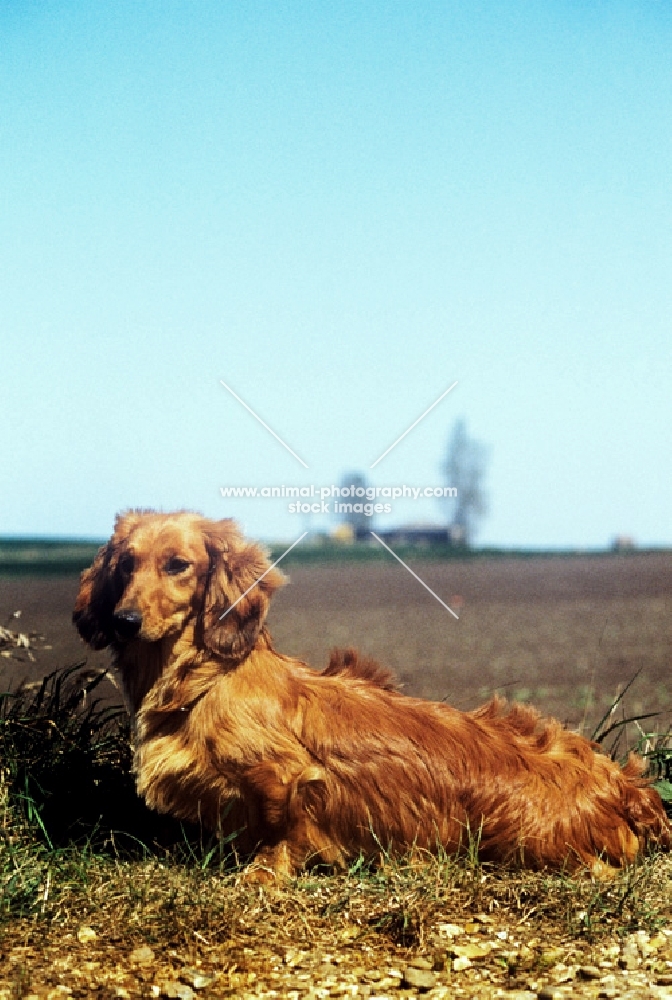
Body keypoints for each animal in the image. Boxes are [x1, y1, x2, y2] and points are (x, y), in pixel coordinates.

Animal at [71, 512, 668, 880]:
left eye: (178, 565)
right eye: (126, 564)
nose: (125, 621)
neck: (205, 682)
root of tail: (623, 784)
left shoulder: (293, 780)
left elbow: (282, 830)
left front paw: (263, 873)